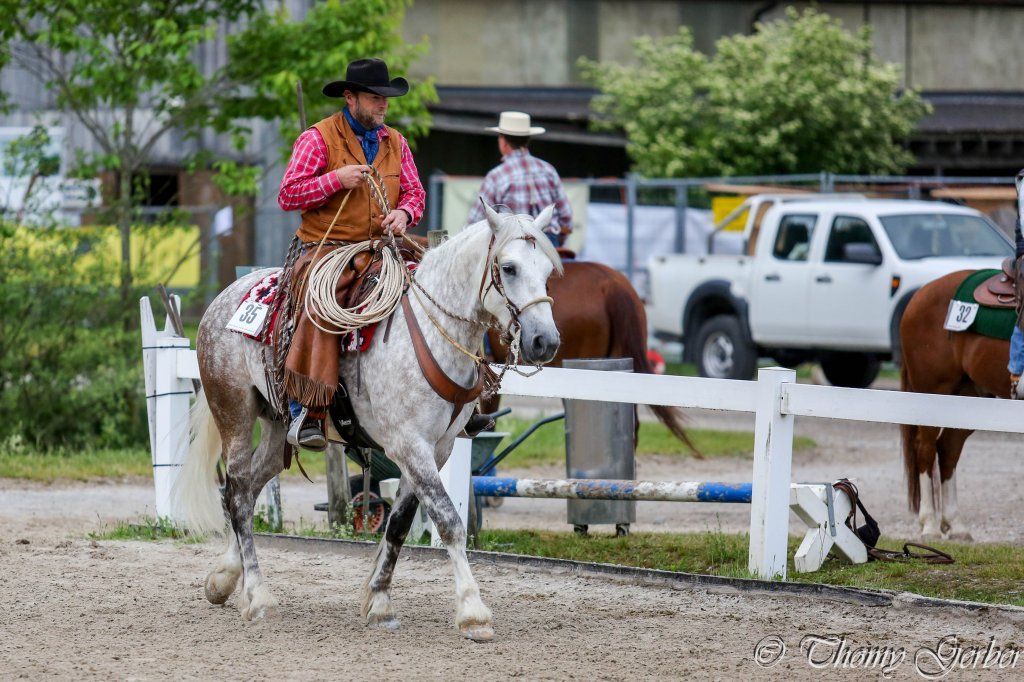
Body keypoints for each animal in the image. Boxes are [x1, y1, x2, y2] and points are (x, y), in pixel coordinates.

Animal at [173, 204, 562, 642]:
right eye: (509, 268)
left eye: (548, 270)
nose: (545, 341)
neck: (430, 332)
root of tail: (226, 296)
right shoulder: (411, 445)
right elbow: (448, 521)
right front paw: (473, 611)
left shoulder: (436, 450)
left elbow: (398, 524)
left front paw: (378, 601)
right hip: (234, 414)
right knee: (237, 496)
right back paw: (256, 597)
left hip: (276, 431)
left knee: (248, 488)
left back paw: (223, 578)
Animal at [899, 270, 1010, 540]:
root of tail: (920, 294)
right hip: (933, 393)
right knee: (925, 449)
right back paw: (930, 524)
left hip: (969, 397)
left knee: (949, 448)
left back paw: (956, 525)